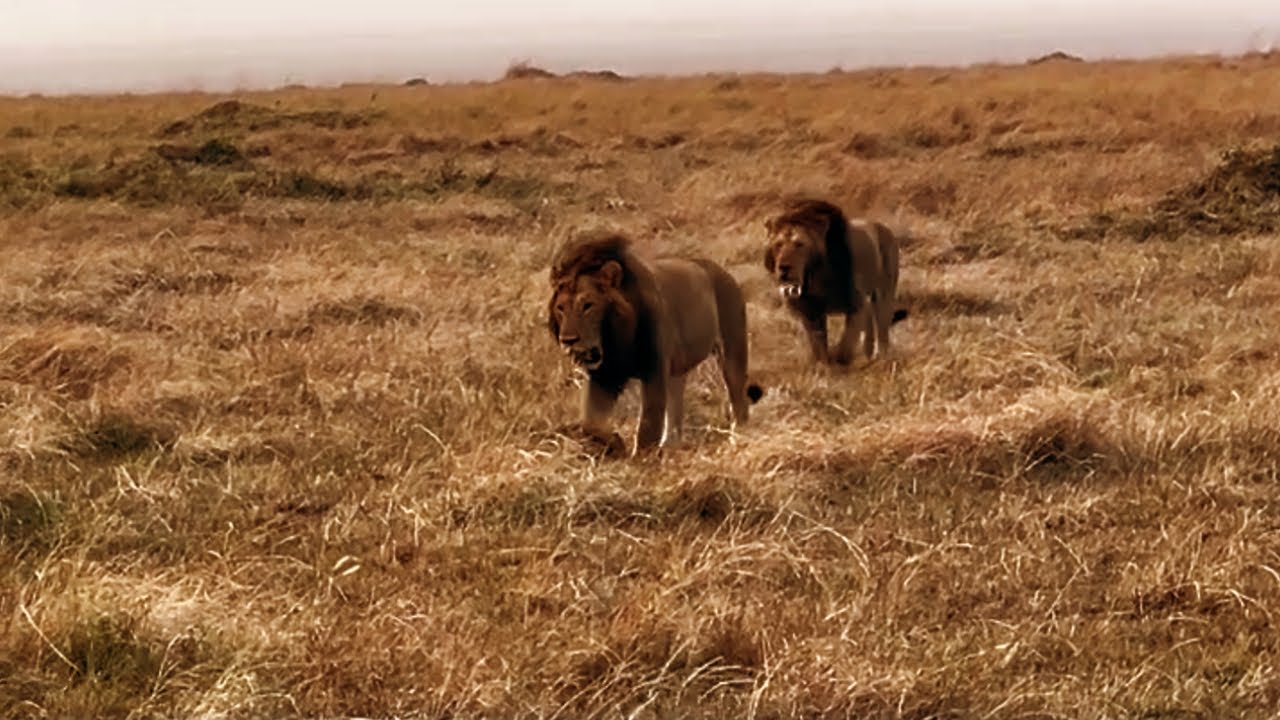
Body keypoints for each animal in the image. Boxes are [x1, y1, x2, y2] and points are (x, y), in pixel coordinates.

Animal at [548, 230, 764, 454]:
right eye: (561, 308)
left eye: (588, 305)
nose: (568, 340)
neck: (617, 339)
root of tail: (723, 271)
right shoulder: (604, 376)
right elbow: (590, 423)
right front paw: (615, 442)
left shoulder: (655, 371)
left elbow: (648, 424)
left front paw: (641, 458)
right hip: (677, 369)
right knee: (676, 405)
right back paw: (671, 445)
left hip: (732, 350)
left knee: (738, 399)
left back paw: (738, 439)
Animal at [762, 197, 908, 366]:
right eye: (778, 245)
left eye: (799, 244)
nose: (783, 268)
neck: (815, 277)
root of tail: (885, 228)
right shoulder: (810, 312)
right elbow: (818, 346)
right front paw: (824, 366)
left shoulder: (856, 304)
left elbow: (846, 342)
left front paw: (841, 361)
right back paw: (868, 354)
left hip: (883, 294)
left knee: (882, 327)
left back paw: (881, 358)